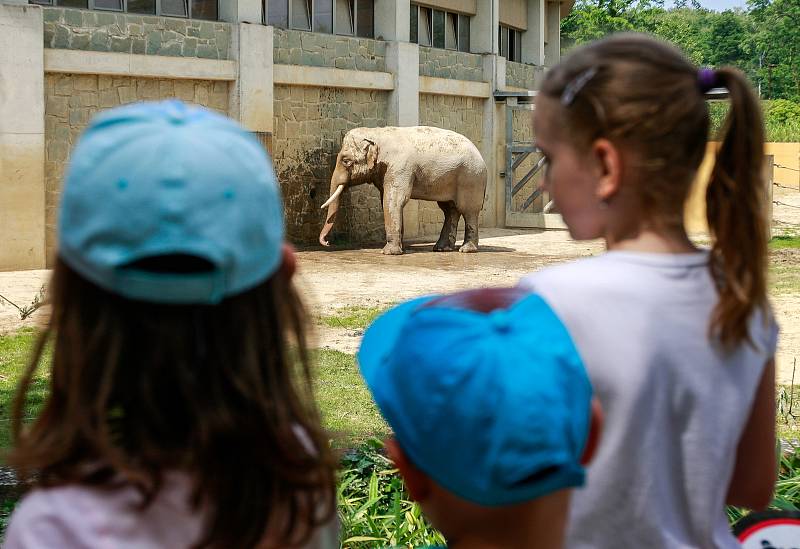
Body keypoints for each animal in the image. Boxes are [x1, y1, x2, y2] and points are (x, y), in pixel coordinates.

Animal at [318, 124, 488, 255]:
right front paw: (401, 249)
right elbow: (387, 200)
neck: (377, 133)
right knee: (450, 209)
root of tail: (481, 157)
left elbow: (393, 200)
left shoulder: (399, 167)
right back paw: (441, 249)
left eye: (346, 161)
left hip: (471, 178)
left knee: (468, 210)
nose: (327, 243)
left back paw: (466, 250)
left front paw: (388, 253)